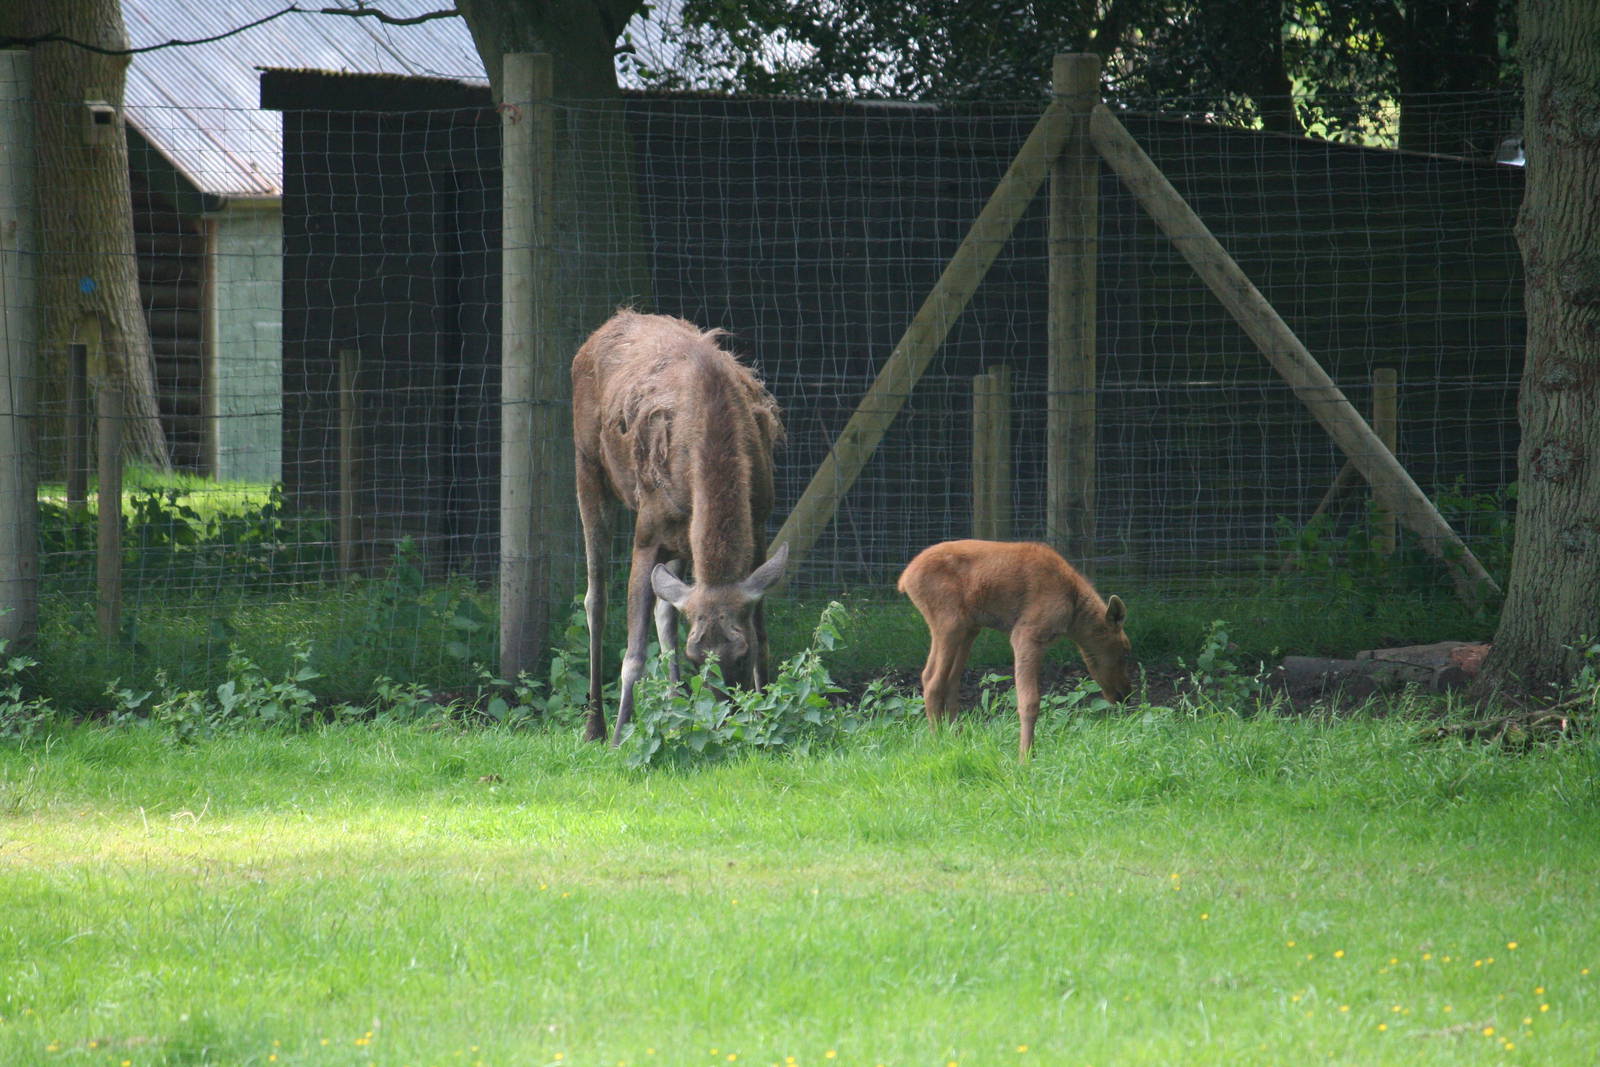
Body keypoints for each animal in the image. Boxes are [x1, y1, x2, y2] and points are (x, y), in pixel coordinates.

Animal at [572, 310, 788, 746]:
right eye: (695, 657)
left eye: (741, 653)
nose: (726, 716)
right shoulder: (647, 534)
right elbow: (633, 655)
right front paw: (620, 738)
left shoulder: (759, 524)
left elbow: (764, 634)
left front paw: (763, 719)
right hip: (587, 466)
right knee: (595, 598)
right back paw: (595, 726)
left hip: (681, 541)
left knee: (665, 610)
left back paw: (673, 712)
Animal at [897, 539, 1136, 759]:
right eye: (1125, 650)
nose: (1125, 694)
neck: (1074, 615)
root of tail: (904, 579)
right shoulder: (1026, 635)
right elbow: (1029, 701)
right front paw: (1025, 757)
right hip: (949, 622)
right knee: (931, 679)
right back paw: (937, 743)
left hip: (969, 629)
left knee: (948, 682)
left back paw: (955, 739)